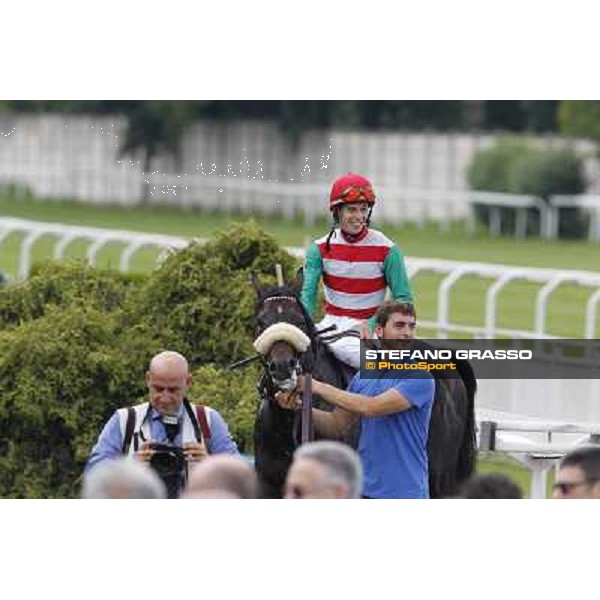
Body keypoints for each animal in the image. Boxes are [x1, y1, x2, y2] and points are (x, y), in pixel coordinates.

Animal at [251, 270, 476, 496]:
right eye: (260, 322)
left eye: (299, 322)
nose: (282, 366)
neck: (286, 424)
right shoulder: (268, 486)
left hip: (439, 479)